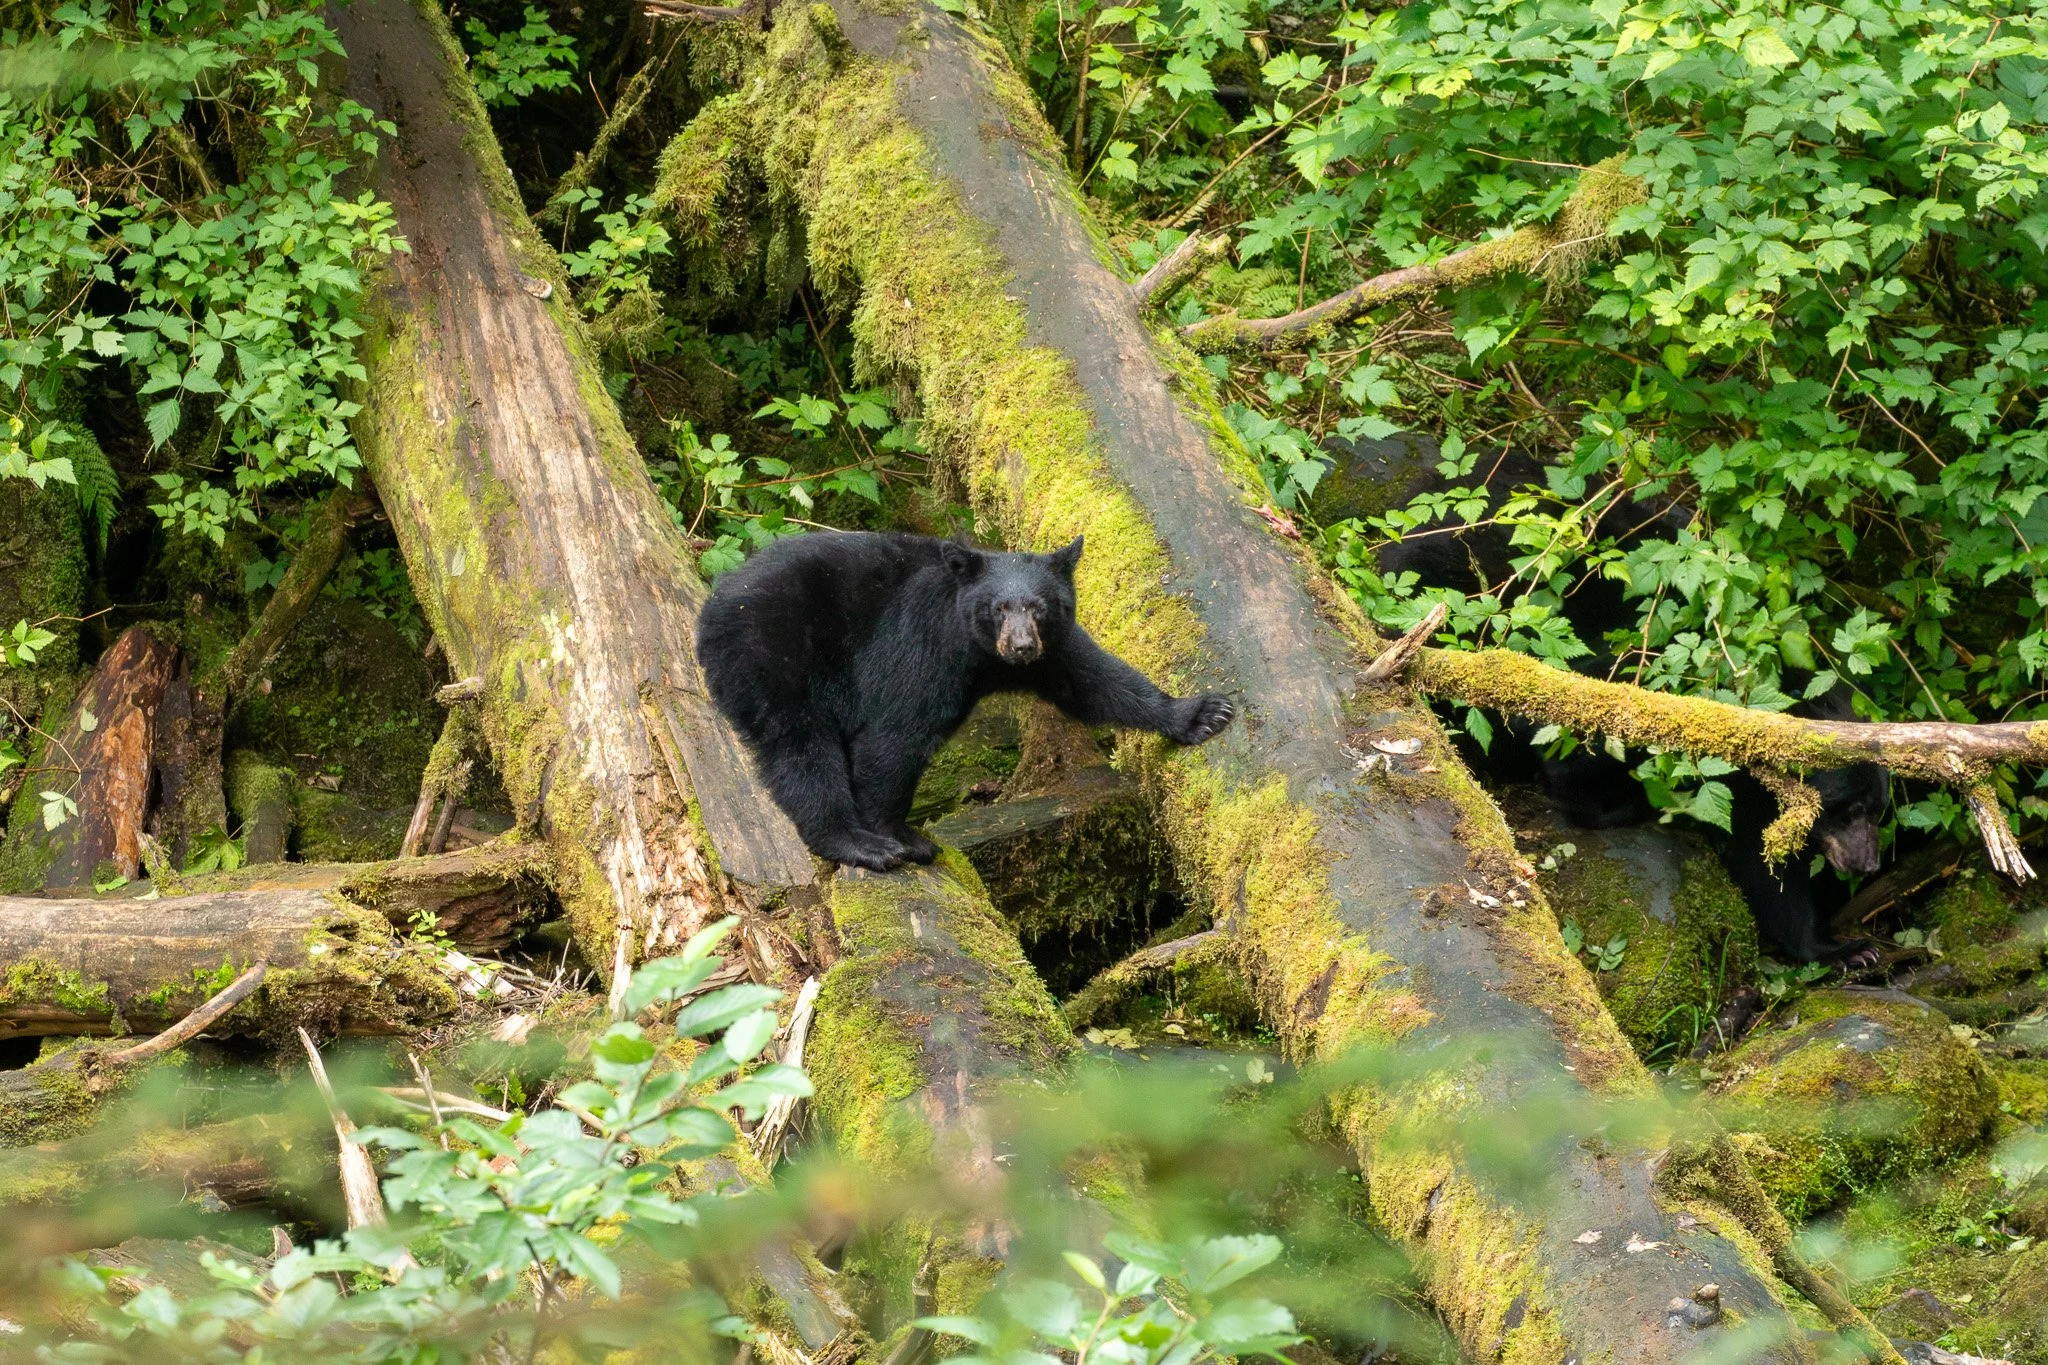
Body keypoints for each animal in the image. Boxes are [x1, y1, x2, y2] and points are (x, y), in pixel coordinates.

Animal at [695, 531, 1236, 871]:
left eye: (1039, 607)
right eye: (999, 607)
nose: (1021, 646)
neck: (979, 655)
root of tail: (713, 605)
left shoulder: (1053, 651)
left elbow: (1097, 681)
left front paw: (1203, 714)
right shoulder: (922, 647)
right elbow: (895, 737)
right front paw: (905, 838)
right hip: (774, 654)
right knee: (801, 747)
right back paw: (857, 843)